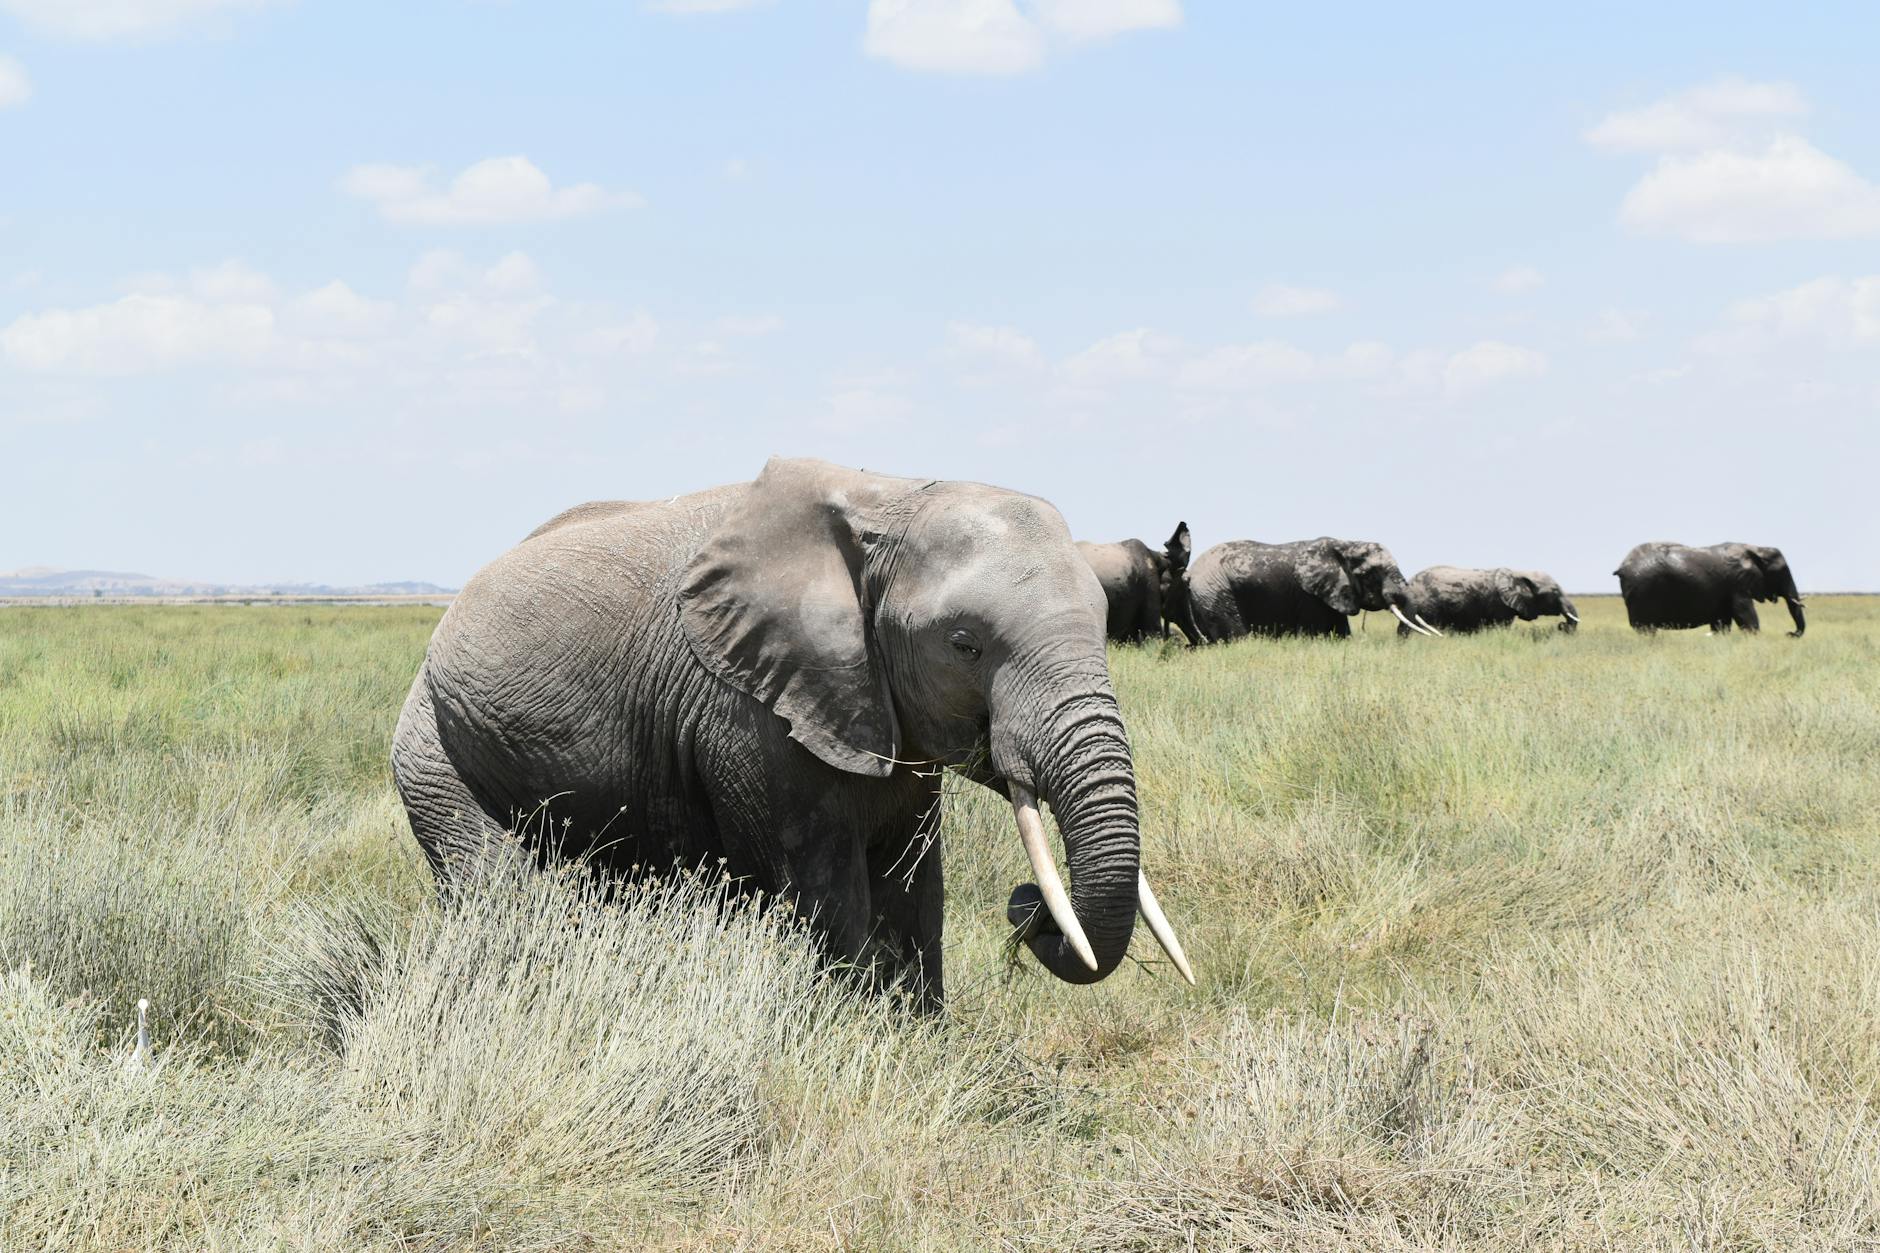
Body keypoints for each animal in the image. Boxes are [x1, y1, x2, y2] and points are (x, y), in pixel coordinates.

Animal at [391, 457, 1192, 1013]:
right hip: (433, 743)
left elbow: (914, 889)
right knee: (502, 890)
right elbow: (832, 890)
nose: (1028, 905)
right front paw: (866, 1041)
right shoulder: (752, 710)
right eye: (966, 645)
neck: (890, 496)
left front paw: (923, 1039)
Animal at [1614, 542, 1805, 637]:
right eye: (1782, 572)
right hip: (1642, 591)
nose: (1789, 633)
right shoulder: (1737, 583)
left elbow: (1722, 623)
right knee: (1646, 629)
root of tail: (1622, 566)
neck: (1756, 549)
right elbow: (1746, 616)